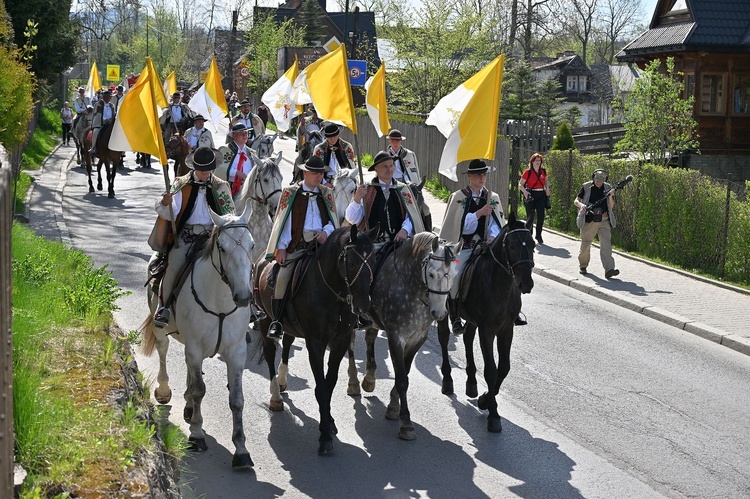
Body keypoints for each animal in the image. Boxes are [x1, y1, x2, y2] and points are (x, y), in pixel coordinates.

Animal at [142, 206, 258, 468]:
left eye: (253, 244)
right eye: (222, 247)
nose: (244, 296)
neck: (221, 302)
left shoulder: (236, 352)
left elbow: (236, 399)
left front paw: (241, 449)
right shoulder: (195, 347)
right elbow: (199, 390)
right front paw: (196, 434)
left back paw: (187, 406)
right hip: (161, 327)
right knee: (163, 350)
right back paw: (164, 391)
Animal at [254, 227, 378, 458]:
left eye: (374, 259)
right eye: (352, 261)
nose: (363, 305)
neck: (331, 294)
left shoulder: (340, 342)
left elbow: (329, 384)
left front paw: (328, 422)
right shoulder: (315, 344)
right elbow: (320, 388)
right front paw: (325, 437)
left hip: (289, 325)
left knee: (287, 343)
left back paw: (283, 380)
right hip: (265, 320)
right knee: (269, 354)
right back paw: (276, 396)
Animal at [434, 214, 536, 434]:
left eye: (533, 245)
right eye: (513, 245)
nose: (526, 284)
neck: (499, 283)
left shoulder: (506, 330)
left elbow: (504, 368)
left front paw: (484, 400)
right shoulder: (487, 330)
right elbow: (491, 370)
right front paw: (493, 414)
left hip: (473, 321)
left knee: (467, 338)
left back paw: (471, 383)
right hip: (443, 312)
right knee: (444, 339)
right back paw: (447, 380)